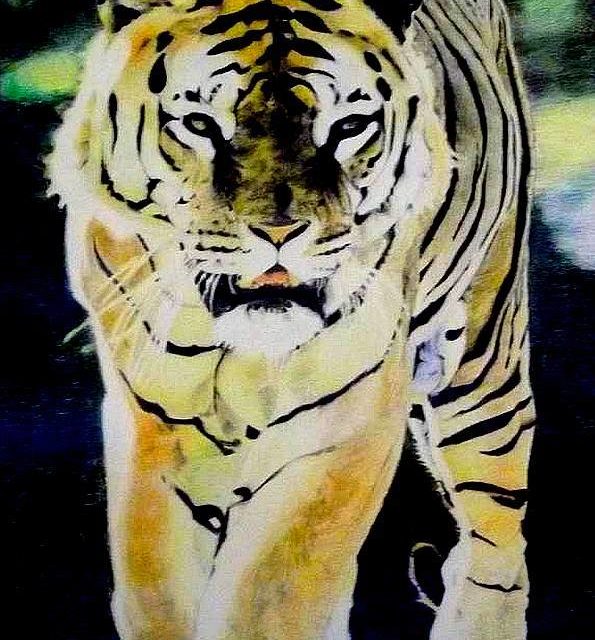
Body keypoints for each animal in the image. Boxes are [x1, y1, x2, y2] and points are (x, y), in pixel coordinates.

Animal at [48, 0, 535, 638]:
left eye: (348, 127)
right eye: (200, 124)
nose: (280, 234)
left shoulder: (345, 429)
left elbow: (269, 594)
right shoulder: (149, 423)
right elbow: (157, 589)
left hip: (484, 363)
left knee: (494, 547)